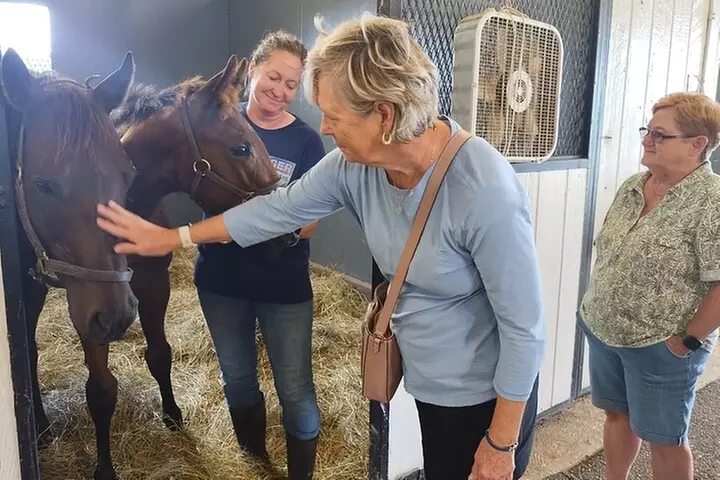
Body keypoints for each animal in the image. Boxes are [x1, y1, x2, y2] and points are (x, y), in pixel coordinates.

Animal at [0, 49, 139, 480]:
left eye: (128, 174)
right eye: (43, 185)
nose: (118, 316)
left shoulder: (87, 300)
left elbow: (102, 389)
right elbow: (26, 356)